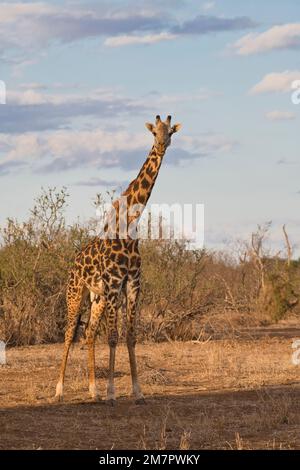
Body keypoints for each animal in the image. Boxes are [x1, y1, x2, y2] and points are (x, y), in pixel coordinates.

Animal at [54, 114, 180, 404]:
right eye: (154, 132)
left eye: (170, 132)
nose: (161, 145)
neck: (129, 223)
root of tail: (73, 263)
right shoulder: (113, 283)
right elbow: (112, 337)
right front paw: (112, 392)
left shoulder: (132, 283)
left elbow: (130, 337)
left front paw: (137, 391)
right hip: (76, 292)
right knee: (68, 333)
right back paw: (59, 390)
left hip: (97, 298)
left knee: (89, 334)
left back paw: (93, 391)